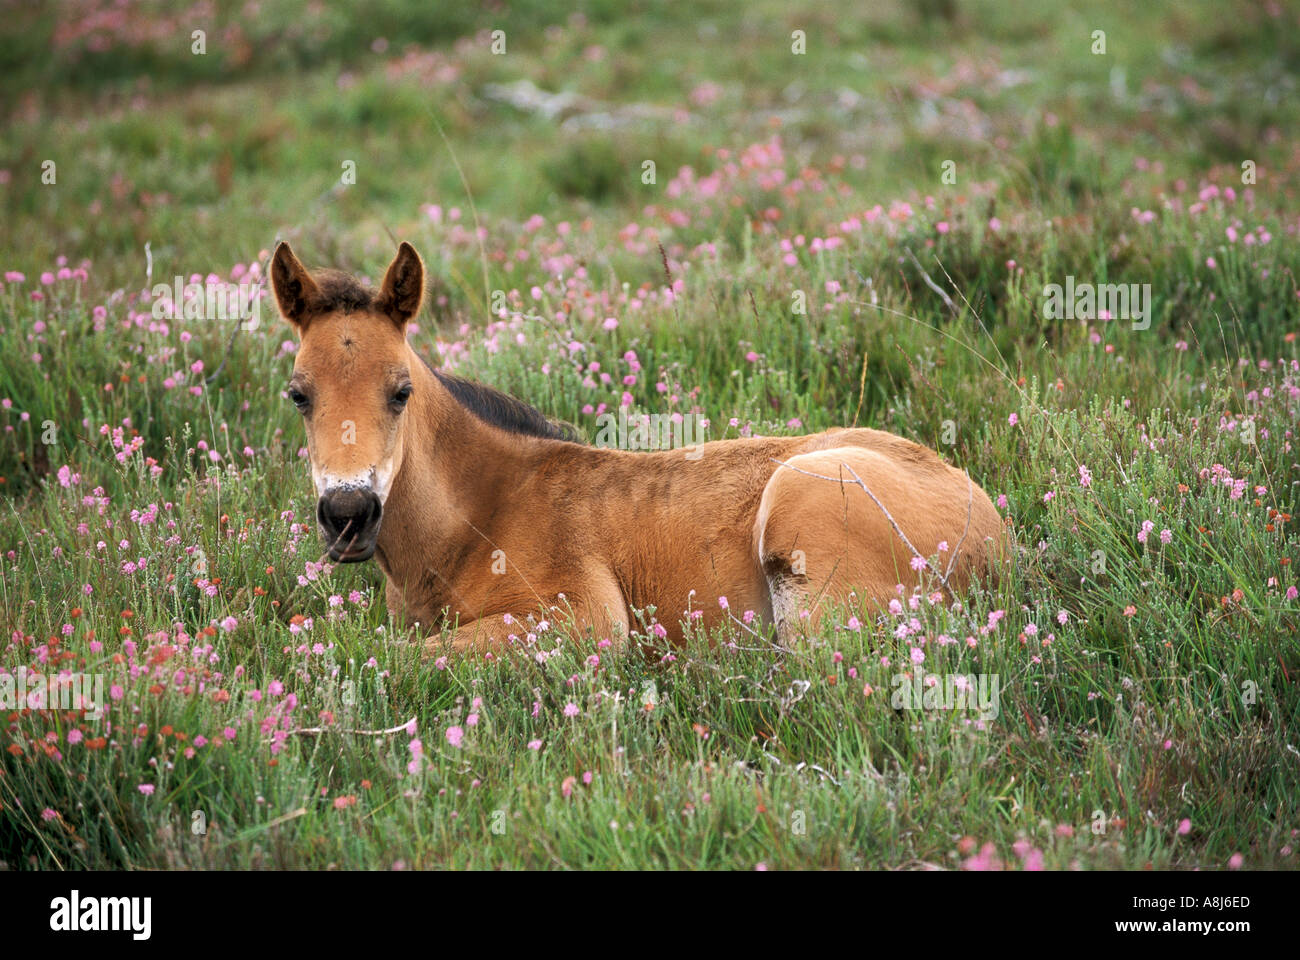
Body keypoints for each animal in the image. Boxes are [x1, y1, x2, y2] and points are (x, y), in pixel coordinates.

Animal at [270, 241, 1007, 655]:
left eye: (400, 391)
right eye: (298, 394)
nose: (348, 515)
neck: (474, 521)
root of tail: (999, 538)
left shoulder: (585, 618)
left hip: (803, 511)